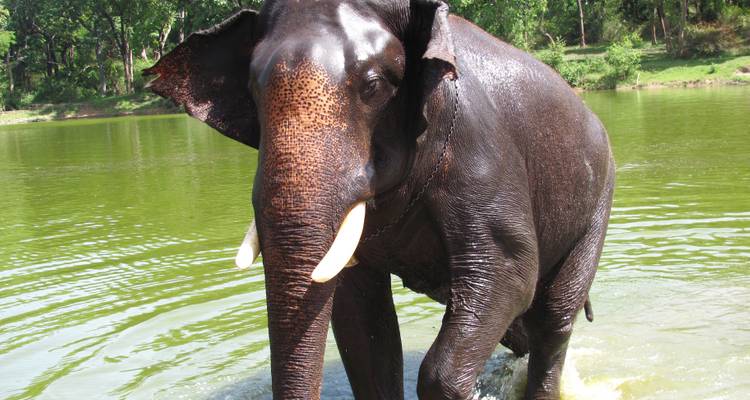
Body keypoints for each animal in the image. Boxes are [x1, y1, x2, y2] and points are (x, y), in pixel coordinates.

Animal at [145, 1, 615, 399]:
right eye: (252, 90)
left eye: (373, 86)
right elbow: (360, 323)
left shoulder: (480, 150)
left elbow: (510, 271)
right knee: (522, 329)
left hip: (597, 202)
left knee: (553, 319)